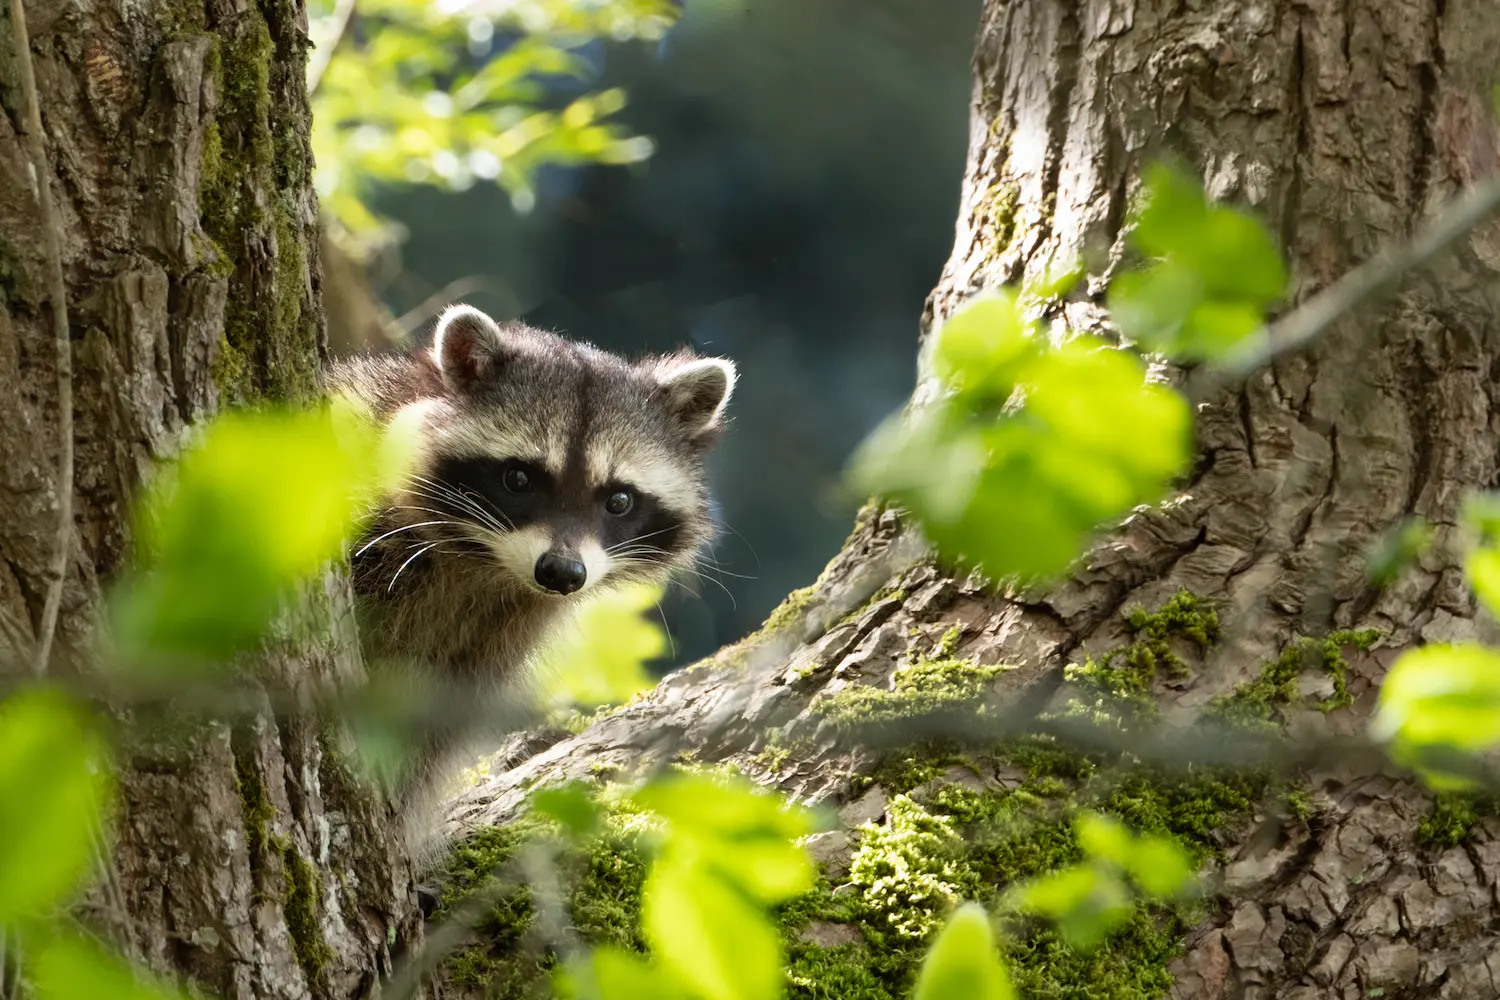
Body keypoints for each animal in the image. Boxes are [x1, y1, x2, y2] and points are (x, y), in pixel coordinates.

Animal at [326, 304, 735, 804]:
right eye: (518, 478)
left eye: (619, 500)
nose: (561, 573)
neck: (483, 563)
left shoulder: (485, 645)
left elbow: (429, 738)